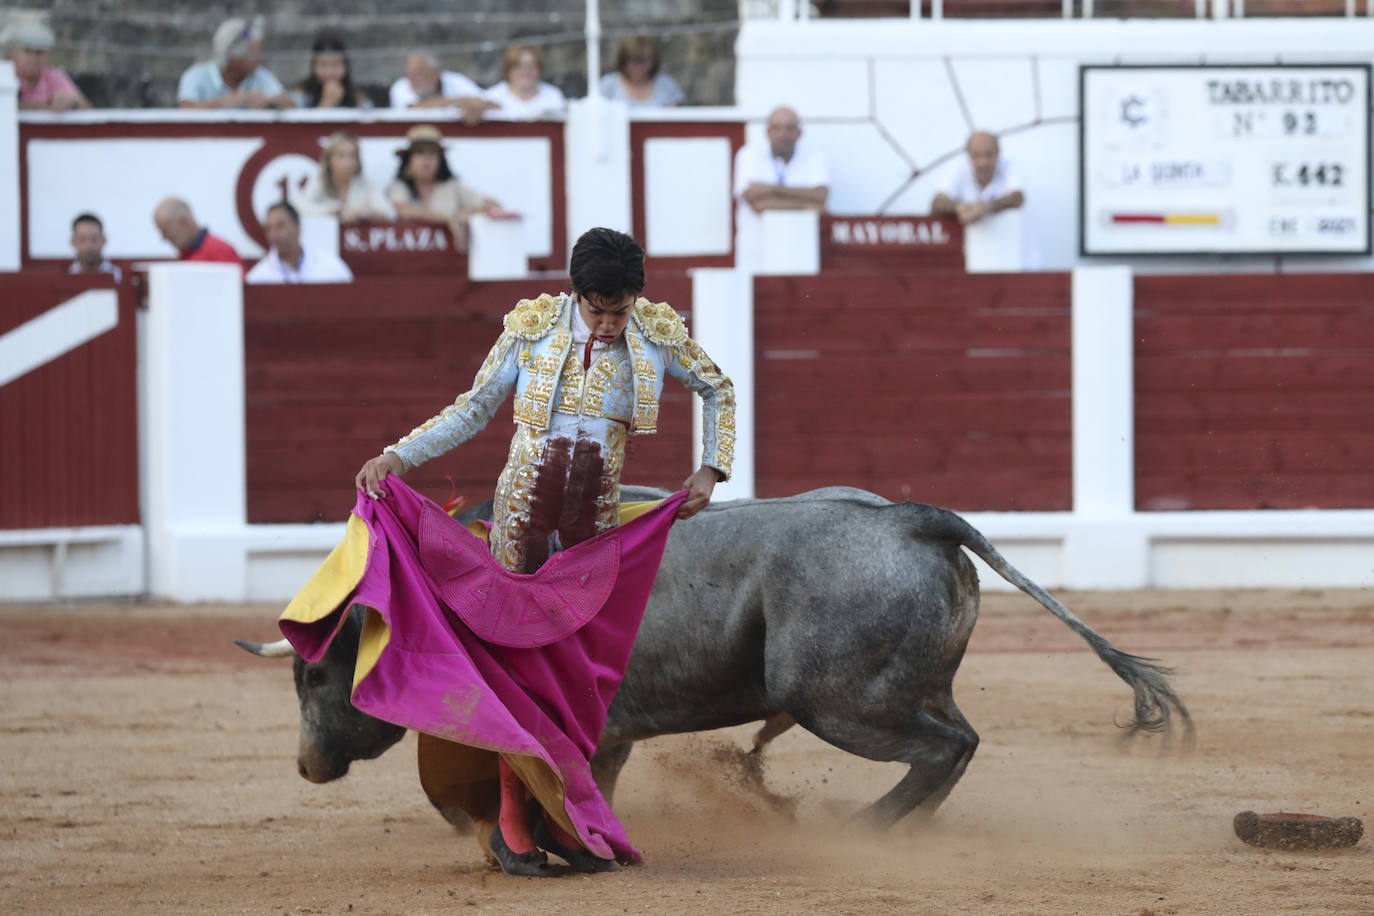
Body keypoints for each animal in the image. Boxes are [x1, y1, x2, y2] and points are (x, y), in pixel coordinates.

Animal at [236, 486, 1192, 829]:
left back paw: (865, 828)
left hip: (838, 702)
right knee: (960, 741)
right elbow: (593, 781)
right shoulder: (607, 731)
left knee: (947, 748)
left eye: (315, 672)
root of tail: (914, 518)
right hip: (913, 687)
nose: (306, 764)